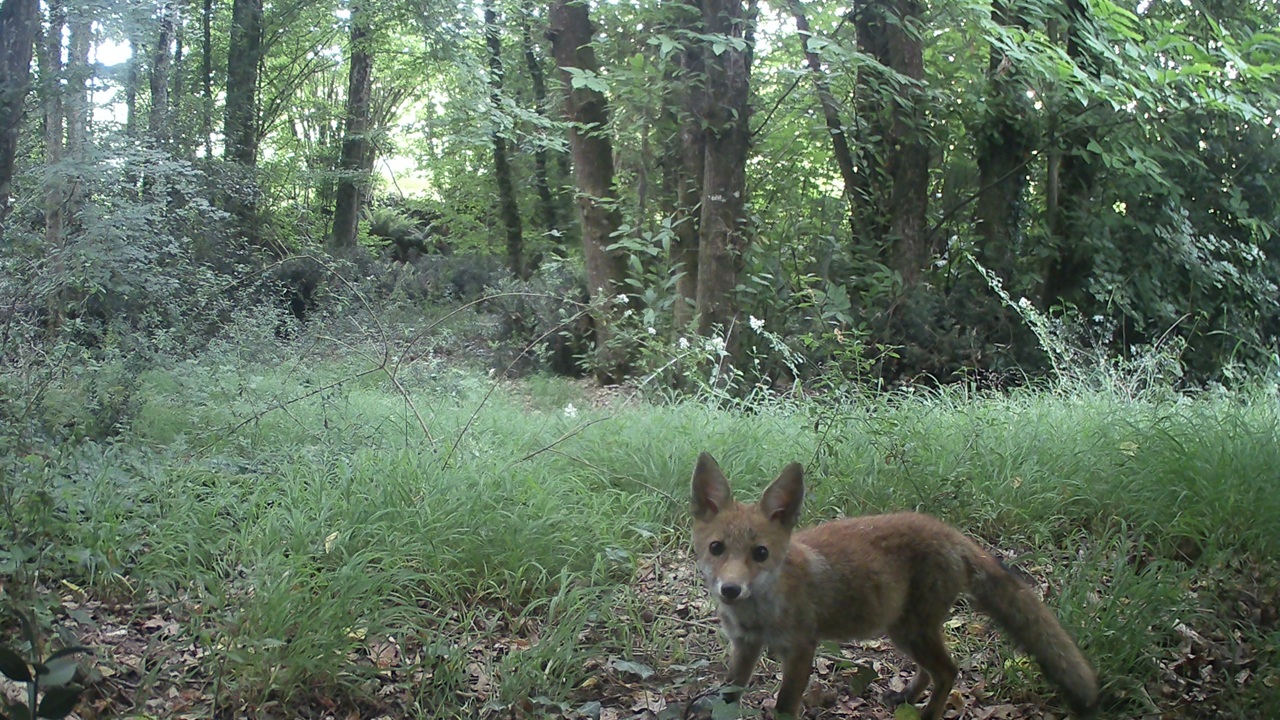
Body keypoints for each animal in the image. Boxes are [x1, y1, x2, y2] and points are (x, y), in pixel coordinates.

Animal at [689, 452, 1098, 720]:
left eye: (760, 553)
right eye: (717, 548)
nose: (730, 590)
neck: (758, 614)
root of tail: (951, 534)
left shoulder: (802, 648)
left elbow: (784, 708)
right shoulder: (744, 645)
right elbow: (729, 694)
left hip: (911, 630)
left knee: (949, 671)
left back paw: (928, 716)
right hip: (904, 631)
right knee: (932, 670)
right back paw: (905, 697)